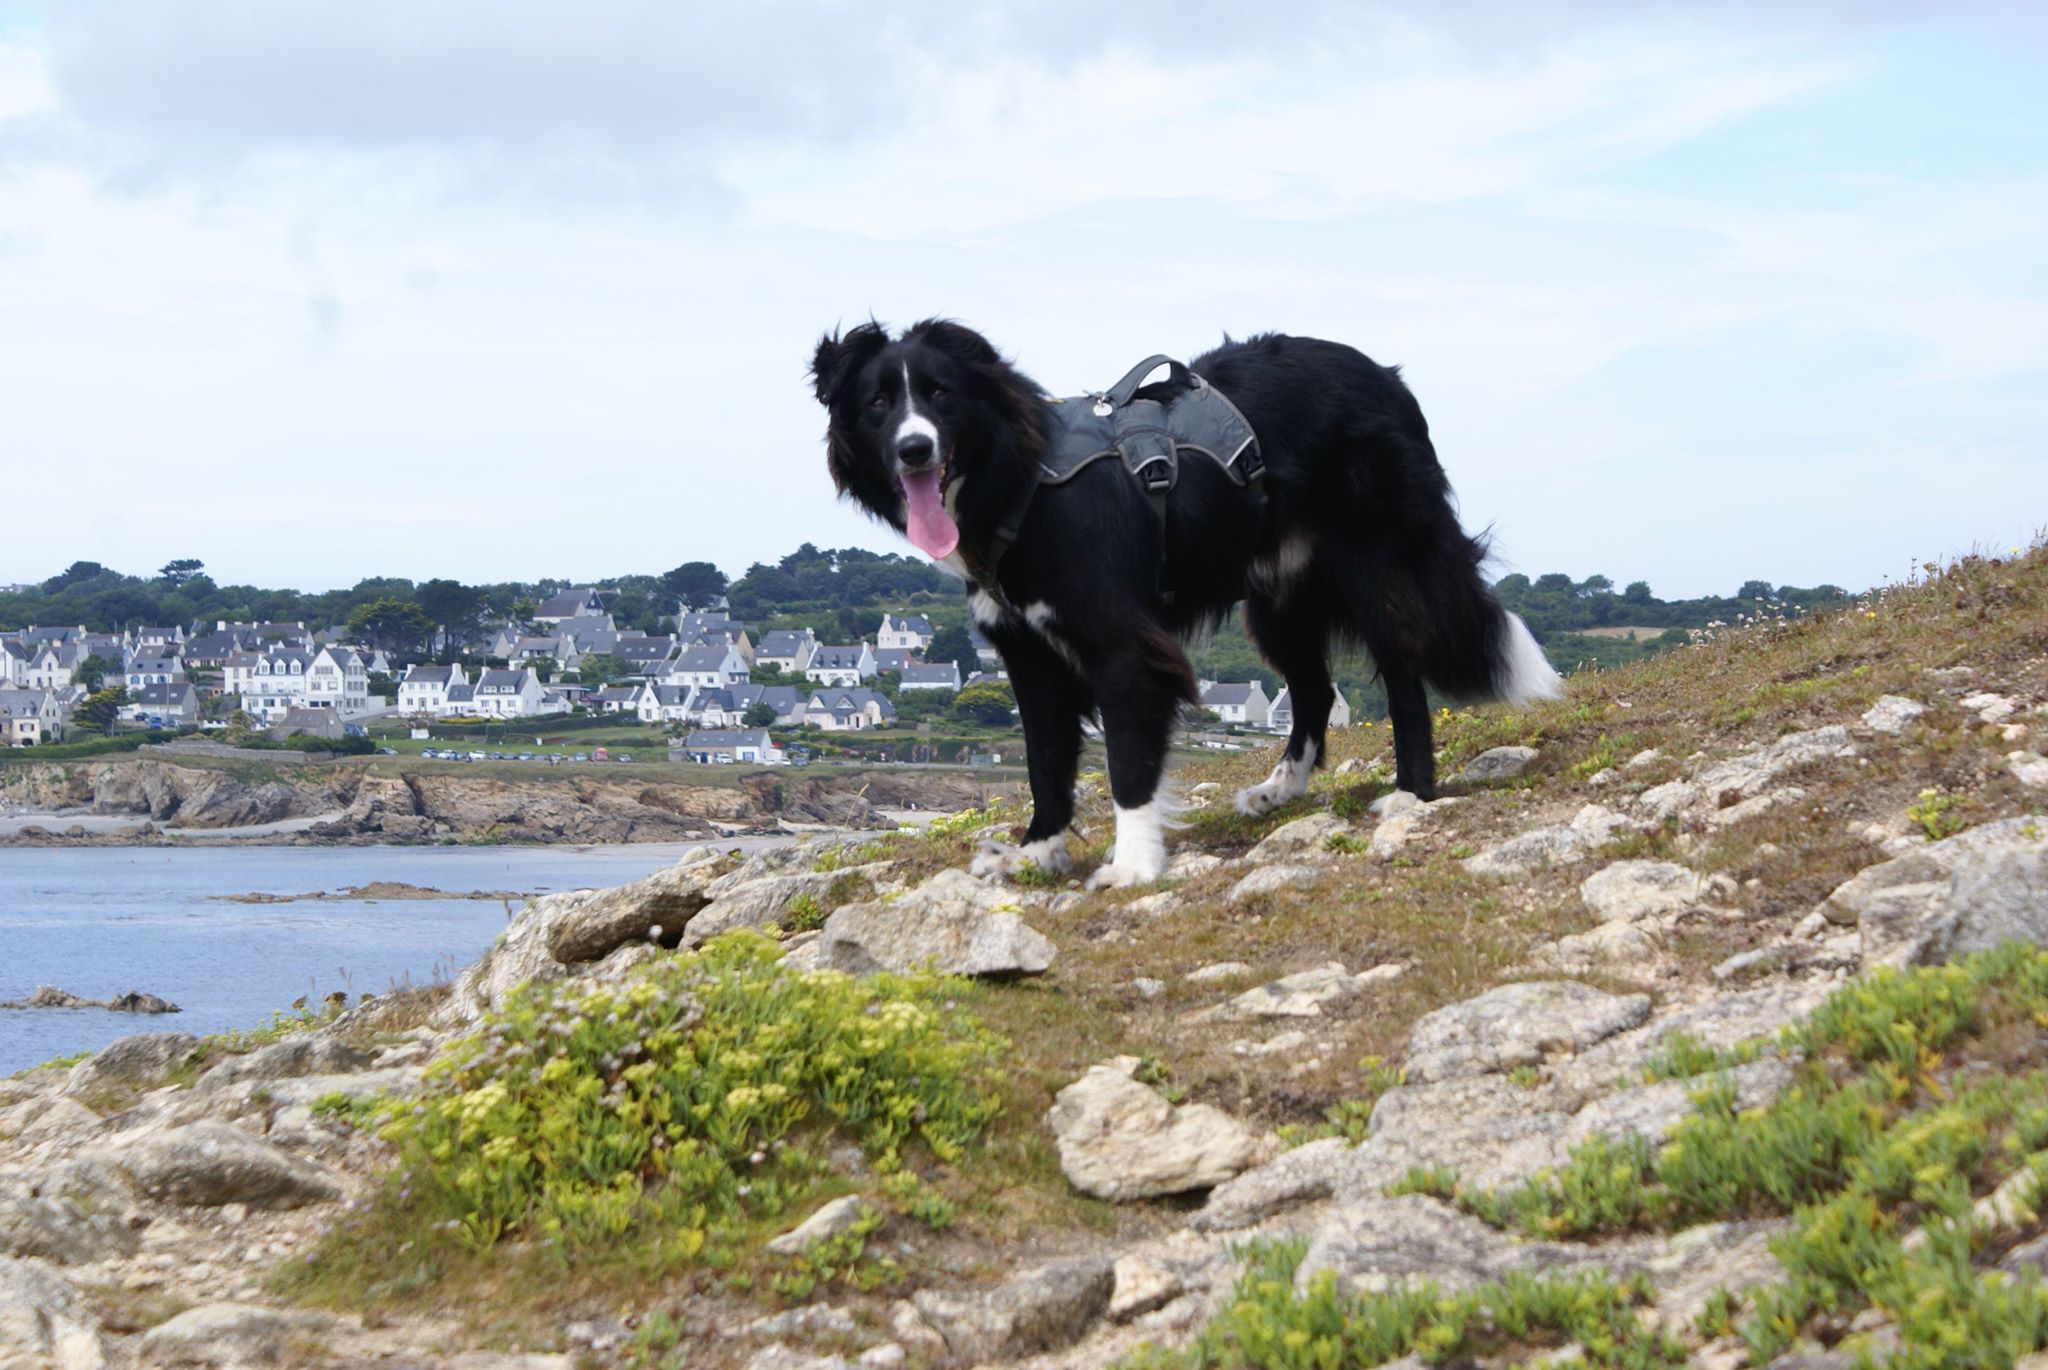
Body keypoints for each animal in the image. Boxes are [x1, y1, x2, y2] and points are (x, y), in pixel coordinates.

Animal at [810, 319, 1560, 887]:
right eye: (878, 404)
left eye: (940, 395)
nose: (914, 449)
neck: (1020, 481)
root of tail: (1388, 377)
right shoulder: (1029, 657)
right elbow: (1044, 761)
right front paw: (1037, 853)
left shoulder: (1123, 646)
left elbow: (1126, 764)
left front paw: (1134, 864)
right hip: (1277, 595)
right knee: (1314, 689)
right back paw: (1281, 789)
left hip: (1377, 560)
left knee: (1402, 670)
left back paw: (1411, 790)